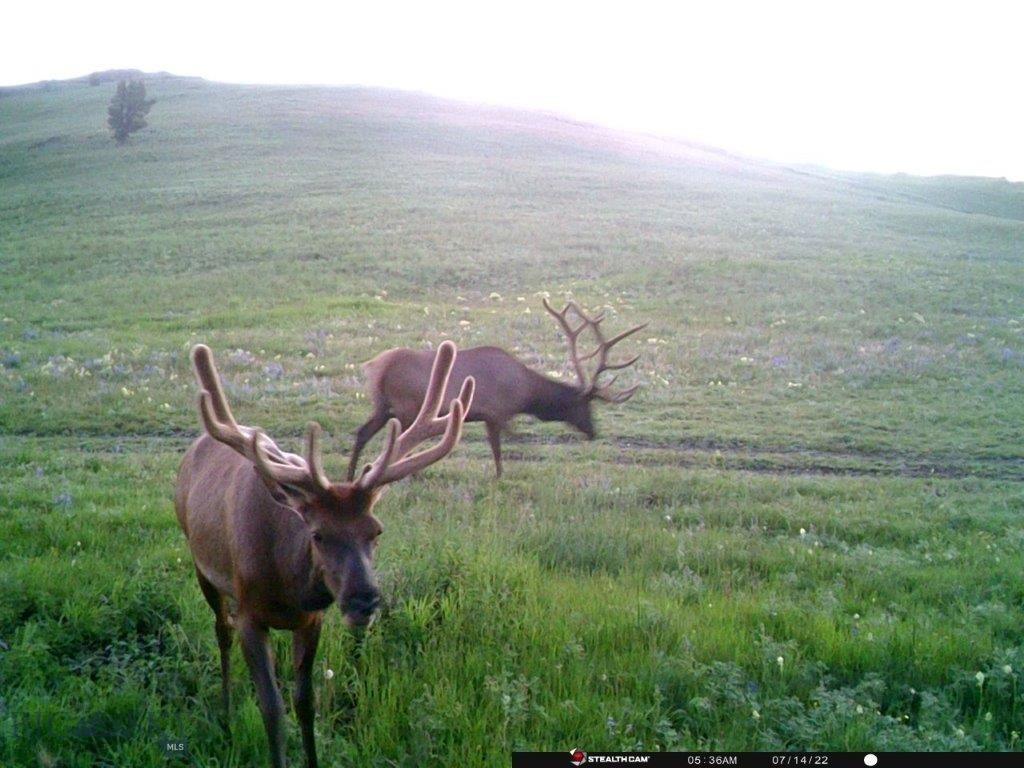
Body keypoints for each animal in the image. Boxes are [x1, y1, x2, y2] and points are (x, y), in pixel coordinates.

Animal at [174, 341, 474, 768]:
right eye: (317, 534)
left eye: (376, 530)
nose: (364, 600)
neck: (287, 584)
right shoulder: (250, 613)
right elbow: (272, 709)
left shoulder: (311, 620)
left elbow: (305, 703)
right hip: (202, 566)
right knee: (222, 631)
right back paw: (227, 714)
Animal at [346, 299, 647, 479]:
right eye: (584, 405)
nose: (594, 432)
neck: (526, 393)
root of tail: (376, 368)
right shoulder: (498, 412)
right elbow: (503, 449)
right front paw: (501, 478)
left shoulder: (490, 416)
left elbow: (498, 448)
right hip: (407, 408)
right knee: (399, 443)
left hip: (383, 406)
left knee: (362, 434)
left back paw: (351, 477)